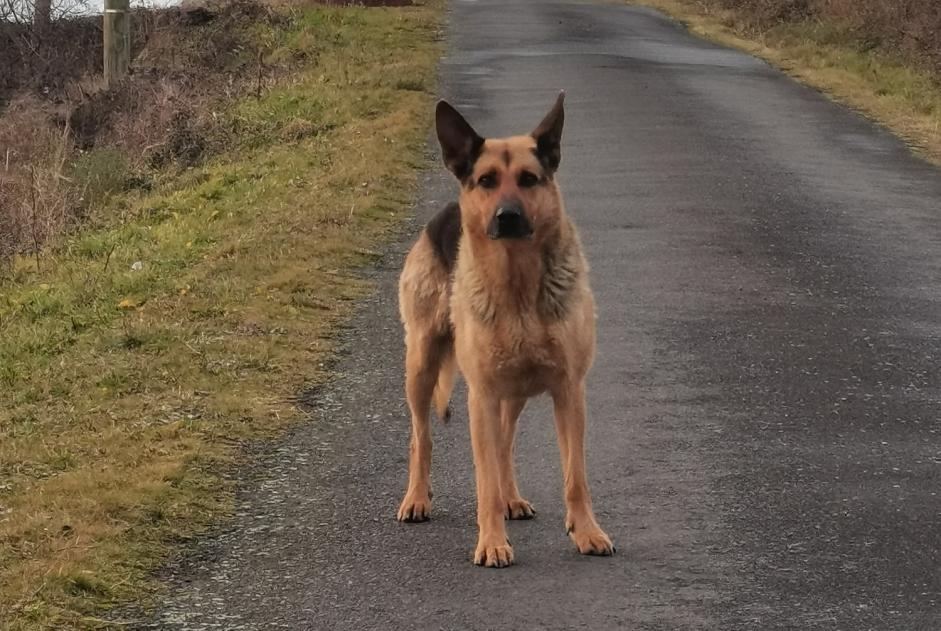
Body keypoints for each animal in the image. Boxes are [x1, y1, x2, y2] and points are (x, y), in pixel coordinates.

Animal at [392, 92, 612, 568]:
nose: (507, 217)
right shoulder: (482, 396)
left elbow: (575, 476)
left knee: (505, 444)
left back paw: (512, 498)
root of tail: (444, 212)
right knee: (421, 437)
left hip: (512, 391)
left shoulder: (569, 392)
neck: (518, 286)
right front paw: (491, 542)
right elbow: (484, 481)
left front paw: (586, 531)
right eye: (487, 180)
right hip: (422, 366)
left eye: (529, 180)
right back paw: (417, 498)